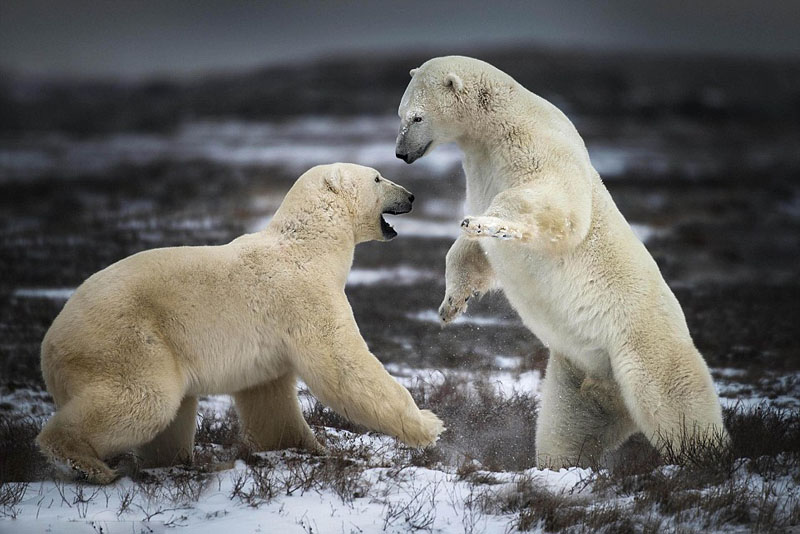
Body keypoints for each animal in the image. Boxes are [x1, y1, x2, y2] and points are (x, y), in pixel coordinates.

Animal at [37, 163, 444, 486]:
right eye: (377, 178)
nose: (411, 195)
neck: (310, 246)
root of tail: (50, 344)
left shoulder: (267, 345)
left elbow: (269, 397)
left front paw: (302, 447)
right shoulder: (305, 297)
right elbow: (343, 365)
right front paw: (429, 424)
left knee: (171, 414)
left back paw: (171, 463)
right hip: (127, 341)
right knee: (144, 400)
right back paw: (88, 465)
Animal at [396, 55, 728, 468]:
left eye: (417, 117)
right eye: (400, 115)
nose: (401, 153)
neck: (496, 125)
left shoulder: (539, 147)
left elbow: (552, 205)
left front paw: (485, 223)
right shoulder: (480, 166)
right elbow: (473, 253)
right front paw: (451, 305)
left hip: (643, 346)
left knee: (676, 402)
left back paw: (705, 455)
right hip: (577, 374)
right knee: (566, 429)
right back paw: (561, 466)